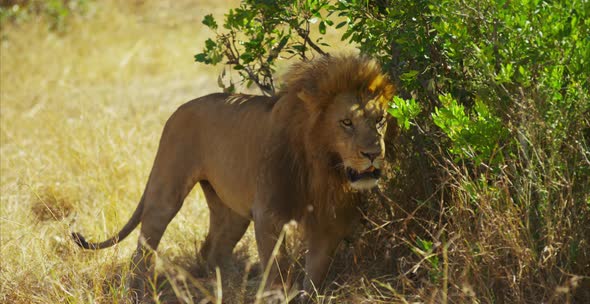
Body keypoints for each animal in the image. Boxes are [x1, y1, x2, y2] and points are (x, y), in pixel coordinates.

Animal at [73, 53, 398, 300]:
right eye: (346, 122)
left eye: (379, 120)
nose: (373, 153)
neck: (323, 166)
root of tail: (180, 108)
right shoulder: (270, 215)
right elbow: (277, 270)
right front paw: (274, 295)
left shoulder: (328, 222)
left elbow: (314, 277)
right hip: (166, 192)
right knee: (143, 250)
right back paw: (138, 292)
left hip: (232, 211)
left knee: (212, 250)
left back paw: (225, 287)